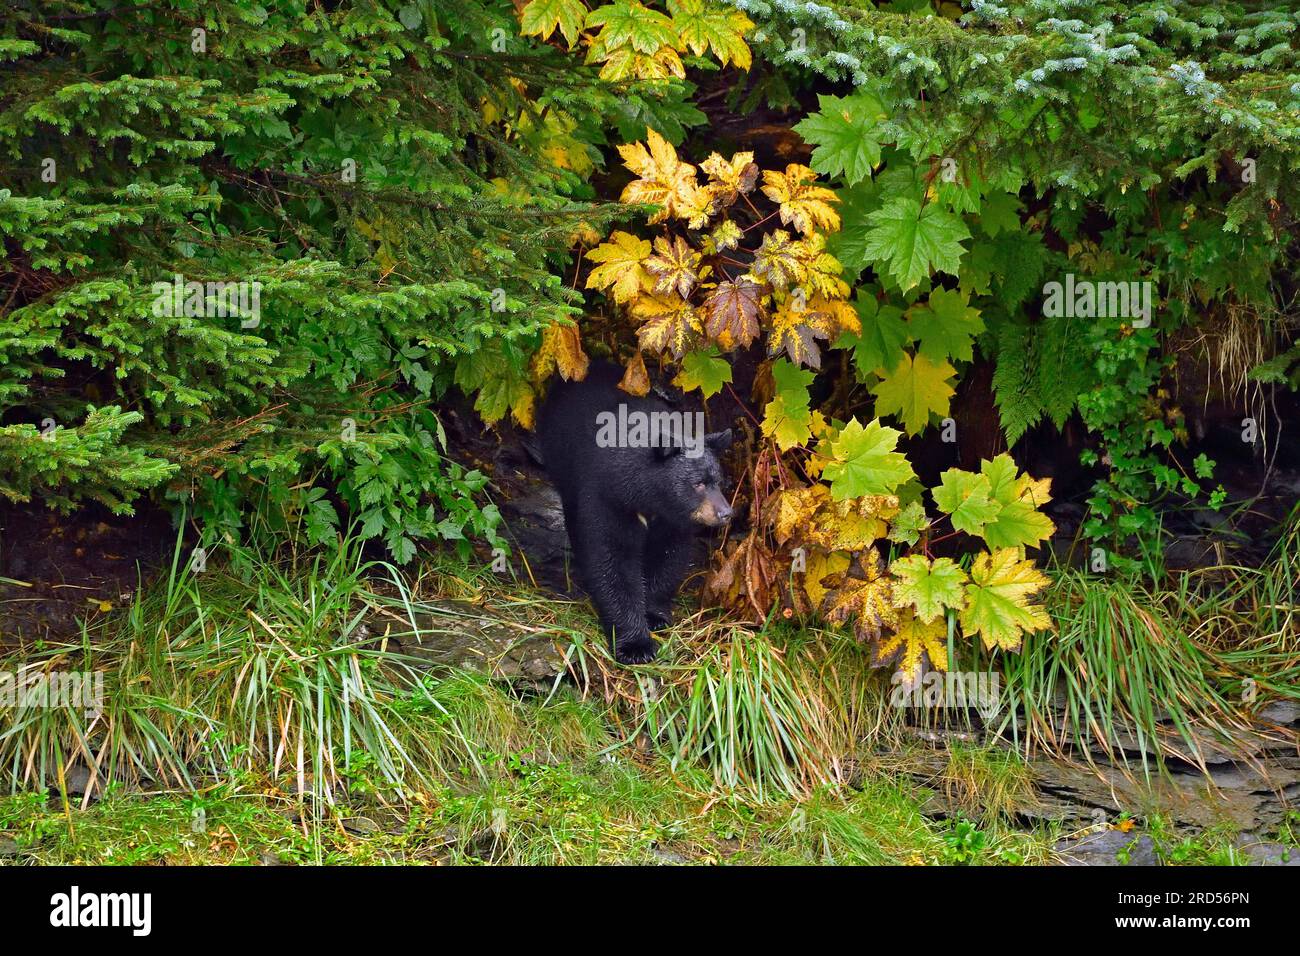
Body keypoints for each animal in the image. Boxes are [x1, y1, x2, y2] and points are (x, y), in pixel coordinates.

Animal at [537, 360, 734, 663]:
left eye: (719, 481)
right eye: (698, 483)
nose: (726, 513)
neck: (650, 498)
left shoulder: (672, 518)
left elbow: (668, 557)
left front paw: (654, 615)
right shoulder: (609, 498)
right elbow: (612, 560)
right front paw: (635, 646)